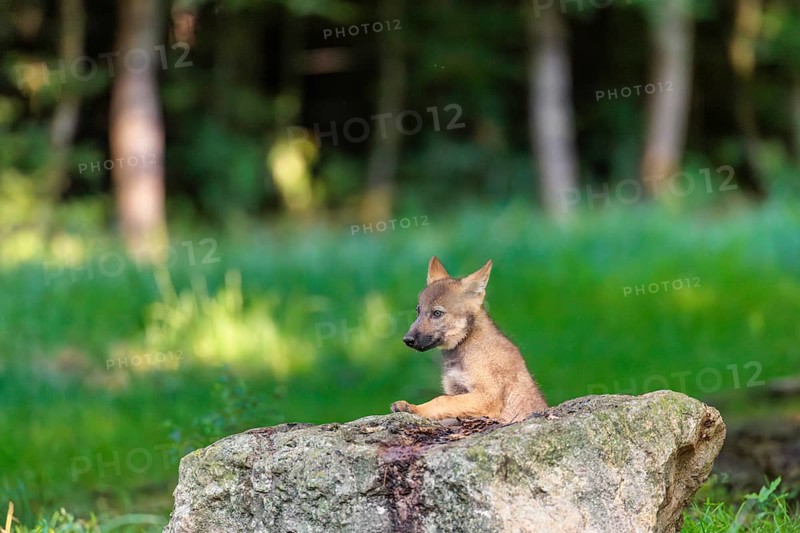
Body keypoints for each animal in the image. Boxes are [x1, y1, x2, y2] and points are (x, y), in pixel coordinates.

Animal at [390, 256, 547, 423]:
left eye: (437, 313)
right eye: (418, 310)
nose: (407, 339)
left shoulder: (487, 396)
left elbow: (441, 400)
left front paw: (413, 408)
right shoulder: (456, 390)